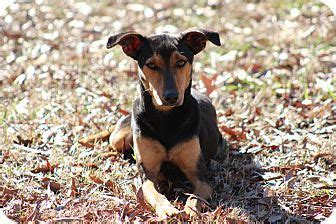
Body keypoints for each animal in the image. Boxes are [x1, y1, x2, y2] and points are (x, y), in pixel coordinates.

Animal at [107, 28, 223, 218]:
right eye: (152, 65)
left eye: (181, 62)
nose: (171, 97)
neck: (166, 117)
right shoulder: (148, 175)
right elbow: (156, 194)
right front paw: (168, 209)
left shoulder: (200, 176)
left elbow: (195, 196)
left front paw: (191, 211)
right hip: (118, 138)